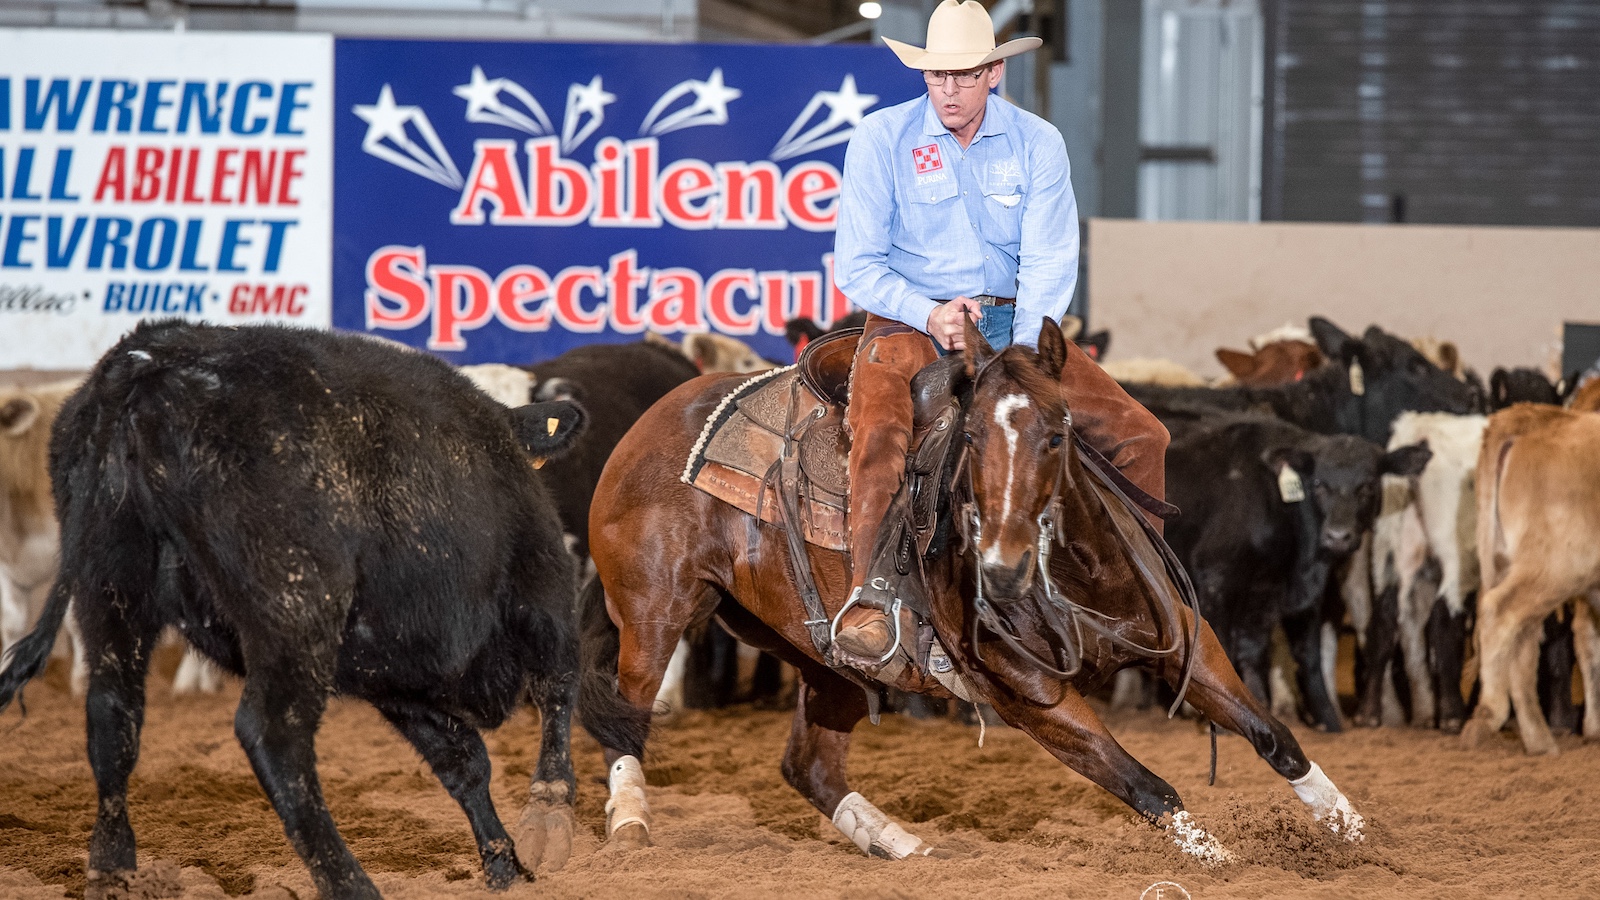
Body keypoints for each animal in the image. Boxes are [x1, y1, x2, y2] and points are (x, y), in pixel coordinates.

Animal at [578, 317, 1365, 865]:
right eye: (974, 440)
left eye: (1059, 433)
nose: (1003, 566)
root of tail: (658, 415)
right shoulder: (1031, 697)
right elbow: (1145, 784)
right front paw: (1219, 860)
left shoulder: (1186, 648)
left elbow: (1273, 735)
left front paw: (1352, 829)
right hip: (652, 611)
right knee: (625, 713)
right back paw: (630, 824)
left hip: (820, 655)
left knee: (808, 767)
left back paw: (904, 845)